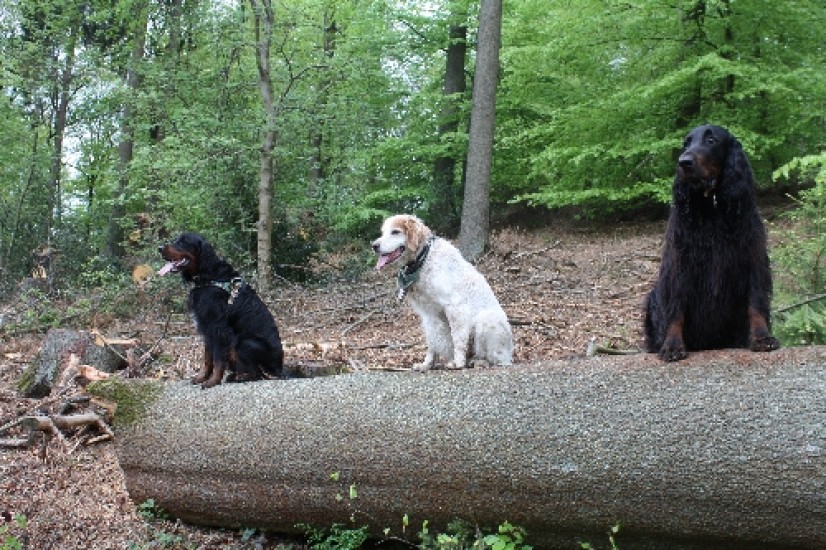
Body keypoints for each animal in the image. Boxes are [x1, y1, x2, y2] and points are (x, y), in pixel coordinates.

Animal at [158, 232, 286, 388]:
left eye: (184, 241)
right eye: (175, 239)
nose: (160, 248)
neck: (208, 276)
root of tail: (279, 369)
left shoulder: (219, 328)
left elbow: (218, 359)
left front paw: (212, 381)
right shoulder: (207, 330)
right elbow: (208, 358)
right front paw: (202, 377)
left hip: (244, 342)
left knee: (257, 374)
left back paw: (240, 378)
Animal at [372, 215, 513, 371]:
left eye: (395, 232)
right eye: (383, 232)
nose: (374, 246)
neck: (423, 260)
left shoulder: (455, 307)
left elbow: (458, 338)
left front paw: (458, 362)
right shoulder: (428, 314)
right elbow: (432, 341)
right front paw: (427, 364)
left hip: (487, 320)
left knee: (498, 360)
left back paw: (480, 361)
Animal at [644, 125, 780, 361]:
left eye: (711, 140)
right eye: (686, 143)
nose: (684, 162)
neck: (712, 205)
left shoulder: (753, 258)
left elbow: (755, 302)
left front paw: (762, 337)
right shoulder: (679, 264)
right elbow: (676, 309)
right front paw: (672, 345)